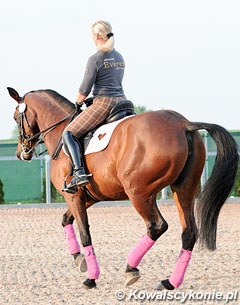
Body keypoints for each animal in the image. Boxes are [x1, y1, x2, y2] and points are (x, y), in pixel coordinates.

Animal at [7, 86, 238, 288]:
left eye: (15, 117)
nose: (20, 152)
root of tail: (184, 124)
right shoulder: (88, 197)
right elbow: (65, 220)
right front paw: (78, 258)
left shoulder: (74, 197)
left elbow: (84, 233)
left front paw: (91, 277)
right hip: (183, 190)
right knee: (188, 232)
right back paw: (169, 283)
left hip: (139, 193)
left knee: (156, 226)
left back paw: (130, 269)